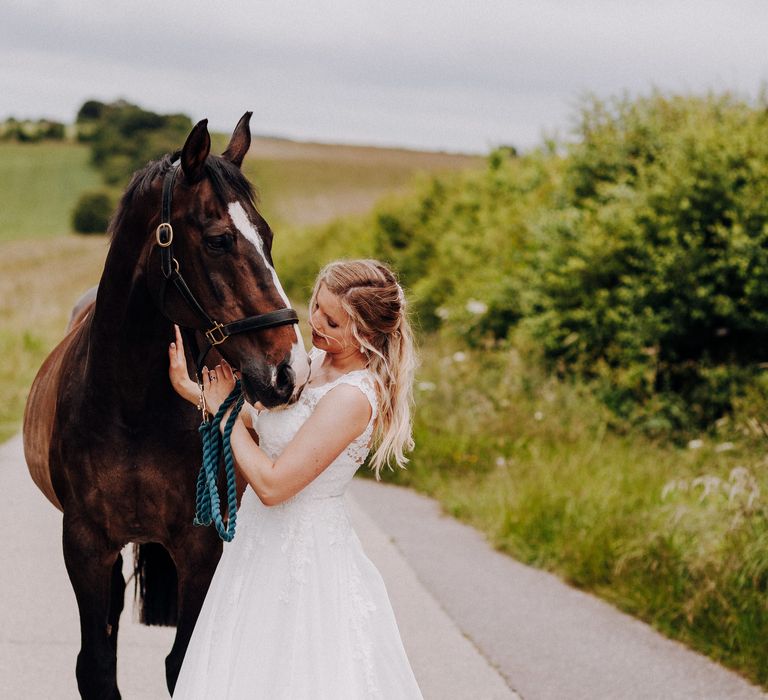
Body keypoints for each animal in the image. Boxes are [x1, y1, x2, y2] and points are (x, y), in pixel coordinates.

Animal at [21, 112, 308, 696]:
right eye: (219, 240)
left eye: (267, 236)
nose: (290, 370)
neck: (131, 408)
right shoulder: (84, 544)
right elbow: (96, 663)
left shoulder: (201, 545)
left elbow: (185, 662)